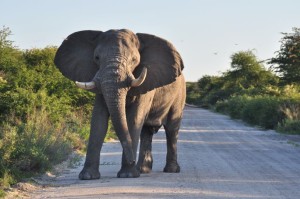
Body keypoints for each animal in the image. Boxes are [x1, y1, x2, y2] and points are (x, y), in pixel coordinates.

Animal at [54, 28, 185, 180]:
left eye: (134, 60)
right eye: (97, 58)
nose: (131, 159)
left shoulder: (146, 82)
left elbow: (134, 119)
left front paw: (127, 175)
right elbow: (98, 120)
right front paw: (87, 176)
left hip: (179, 95)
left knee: (171, 129)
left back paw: (170, 170)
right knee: (146, 132)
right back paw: (142, 170)